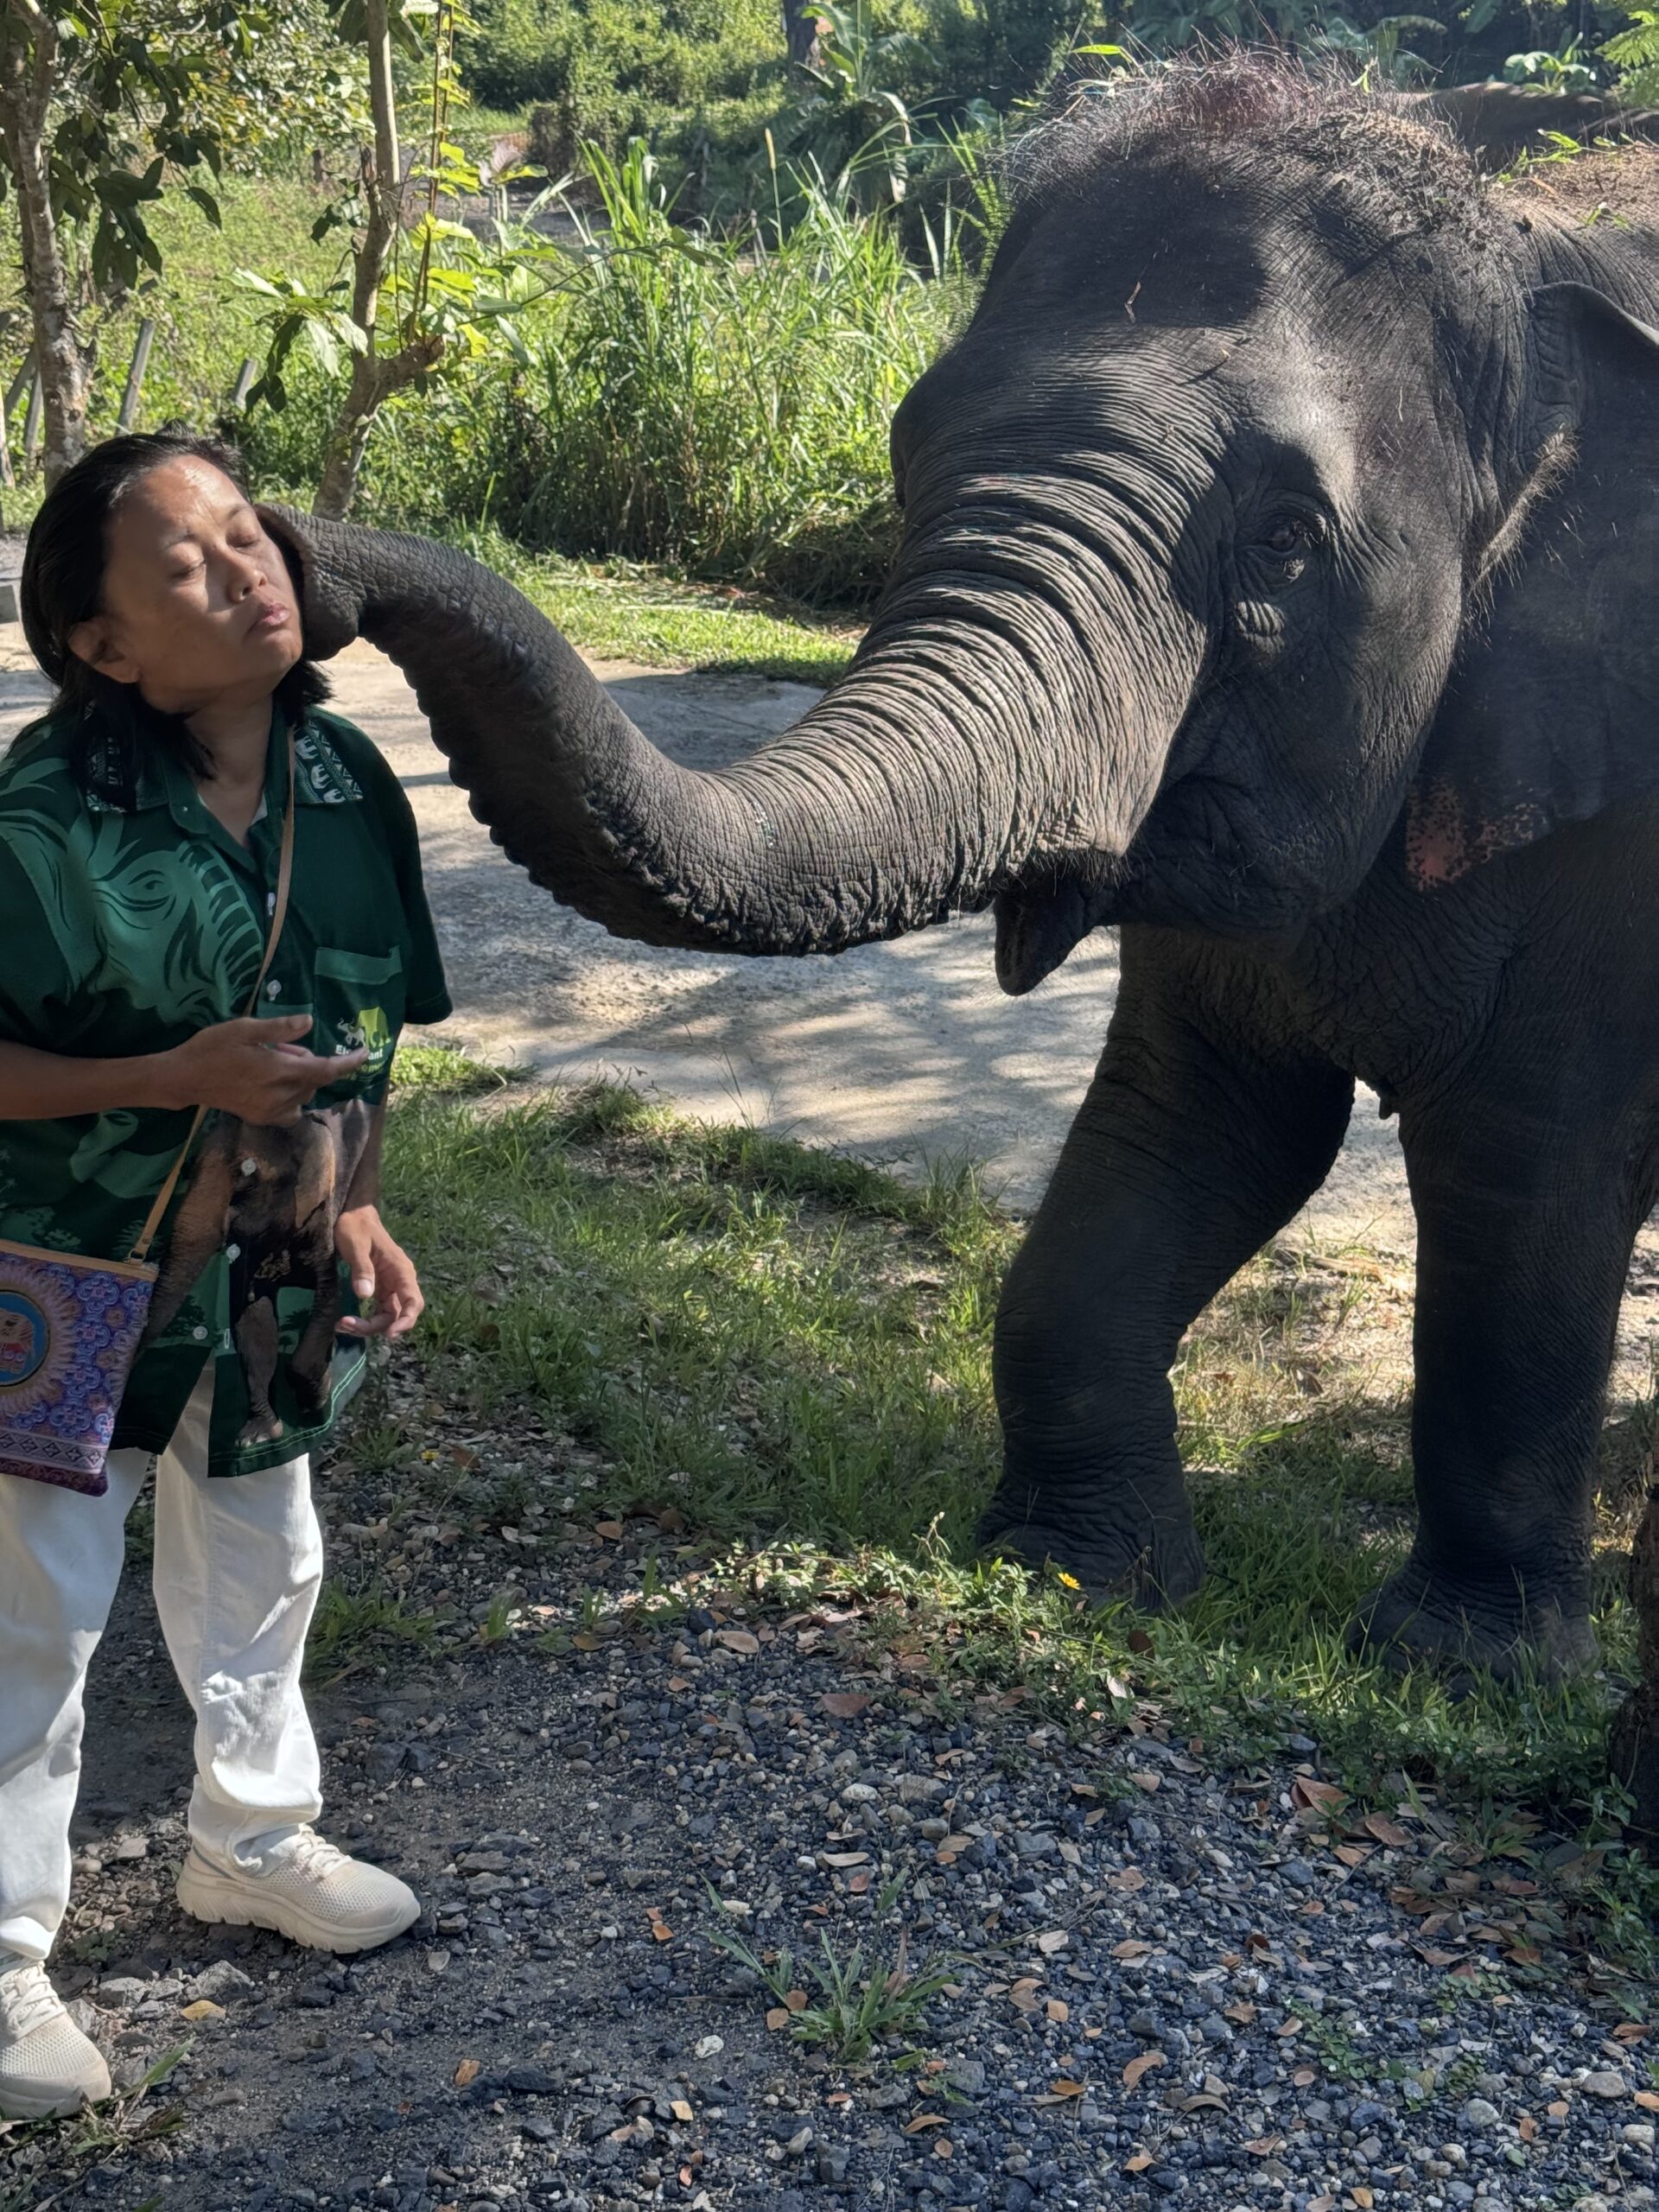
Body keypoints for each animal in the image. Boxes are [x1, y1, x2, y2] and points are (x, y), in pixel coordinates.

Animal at [147, 1101, 374, 1445]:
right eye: (191, 1170)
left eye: (247, 1180)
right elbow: (254, 1321)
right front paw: (259, 1436)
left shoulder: (322, 1223)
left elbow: (328, 1301)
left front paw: (315, 1399)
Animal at [265, 60, 1659, 1689]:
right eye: (905, 448)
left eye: (1286, 539)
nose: (292, 556)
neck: (1525, 245)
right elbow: (1188, 1129)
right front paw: (1077, 1573)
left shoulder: (1617, 841)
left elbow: (1527, 1180)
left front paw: (1462, 1670)